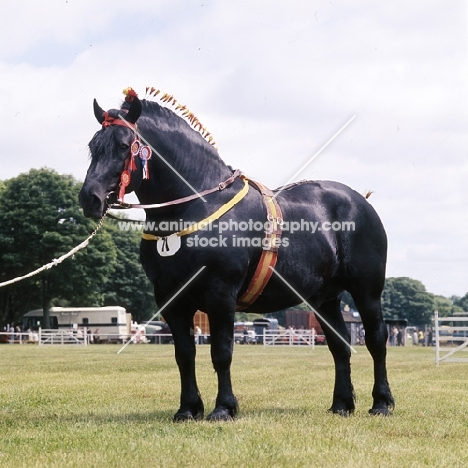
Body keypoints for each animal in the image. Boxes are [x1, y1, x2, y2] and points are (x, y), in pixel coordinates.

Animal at [78, 88, 394, 420]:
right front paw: (188, 409)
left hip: (367, 291)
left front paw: (223, 408)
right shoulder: (170, 300)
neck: (195, 205)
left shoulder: (221, 295)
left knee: (376, 340)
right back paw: (341, 404)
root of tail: (360, 201)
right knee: (340, 346)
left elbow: (221, 353)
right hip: (325, 299)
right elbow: (184, 355)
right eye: (93, 146)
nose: (90, 198)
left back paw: (381, 402)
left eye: (123, 145)